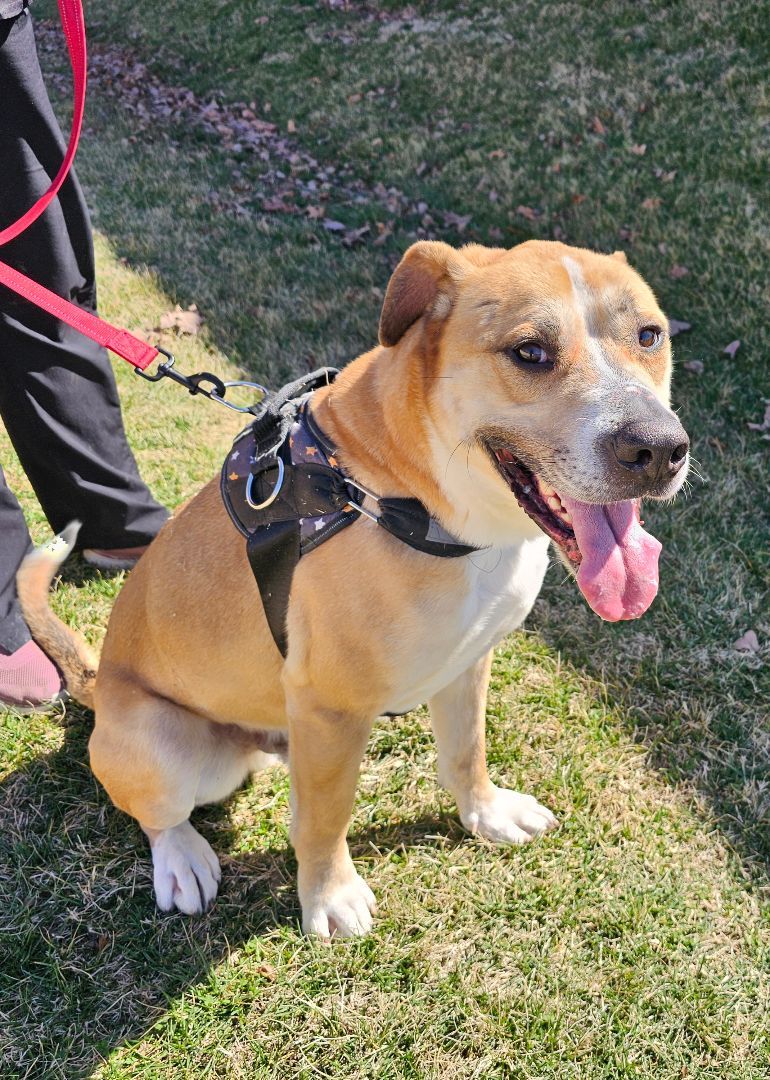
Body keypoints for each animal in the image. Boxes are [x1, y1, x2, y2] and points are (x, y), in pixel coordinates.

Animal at [19, 238, 691, 937]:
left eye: (649, 335)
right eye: (530, 351)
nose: (658, 449)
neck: (412, 497)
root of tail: (98, 682)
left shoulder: (467, 662)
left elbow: (466, 752)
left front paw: (486, 813)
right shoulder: (331, 708)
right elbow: (324, 816)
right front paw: (329, 895)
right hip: (162, 745)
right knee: (159, 814)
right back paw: (182, 860)